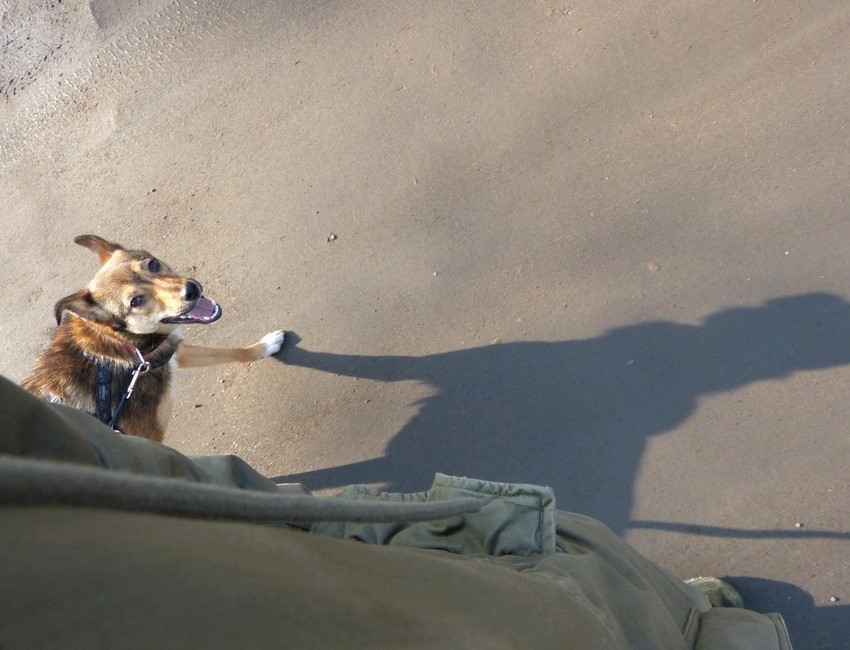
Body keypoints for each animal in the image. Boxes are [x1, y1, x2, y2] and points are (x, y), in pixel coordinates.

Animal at [22, 235, 284, 442]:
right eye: (136, 301)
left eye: (154, 264)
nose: (191, 290)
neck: (122, 347)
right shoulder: (149, 439)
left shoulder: (169, 354)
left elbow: (232, 353)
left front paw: (264, 346)